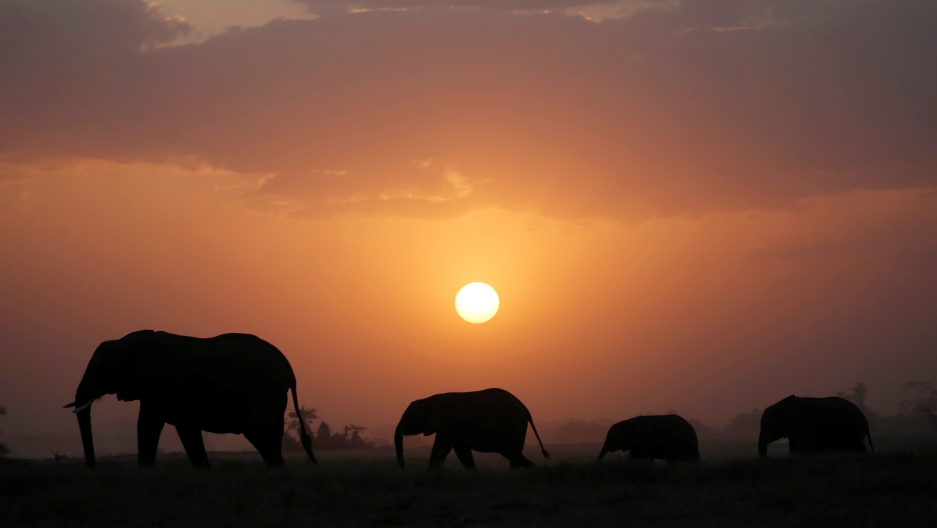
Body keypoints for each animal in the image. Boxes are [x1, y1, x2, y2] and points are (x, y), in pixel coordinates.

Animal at [65, 330, 318, 470]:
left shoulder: (162, 385)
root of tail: (289, 370)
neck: (131, 341)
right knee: (273, 435)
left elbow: (163, 425)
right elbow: (152, 425)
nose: (93, 469)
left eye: (102, 370)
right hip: (275, 399)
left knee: (255, 431)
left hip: (264, 393)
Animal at [394, 386, 548, 468]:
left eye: (409, 419)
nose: (403, 468)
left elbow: (441, 448)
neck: (430, 399)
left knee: (513, 454)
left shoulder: (448, 426)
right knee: (510, 452)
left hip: (516, 427)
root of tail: (526, 410)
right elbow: (462, 451)